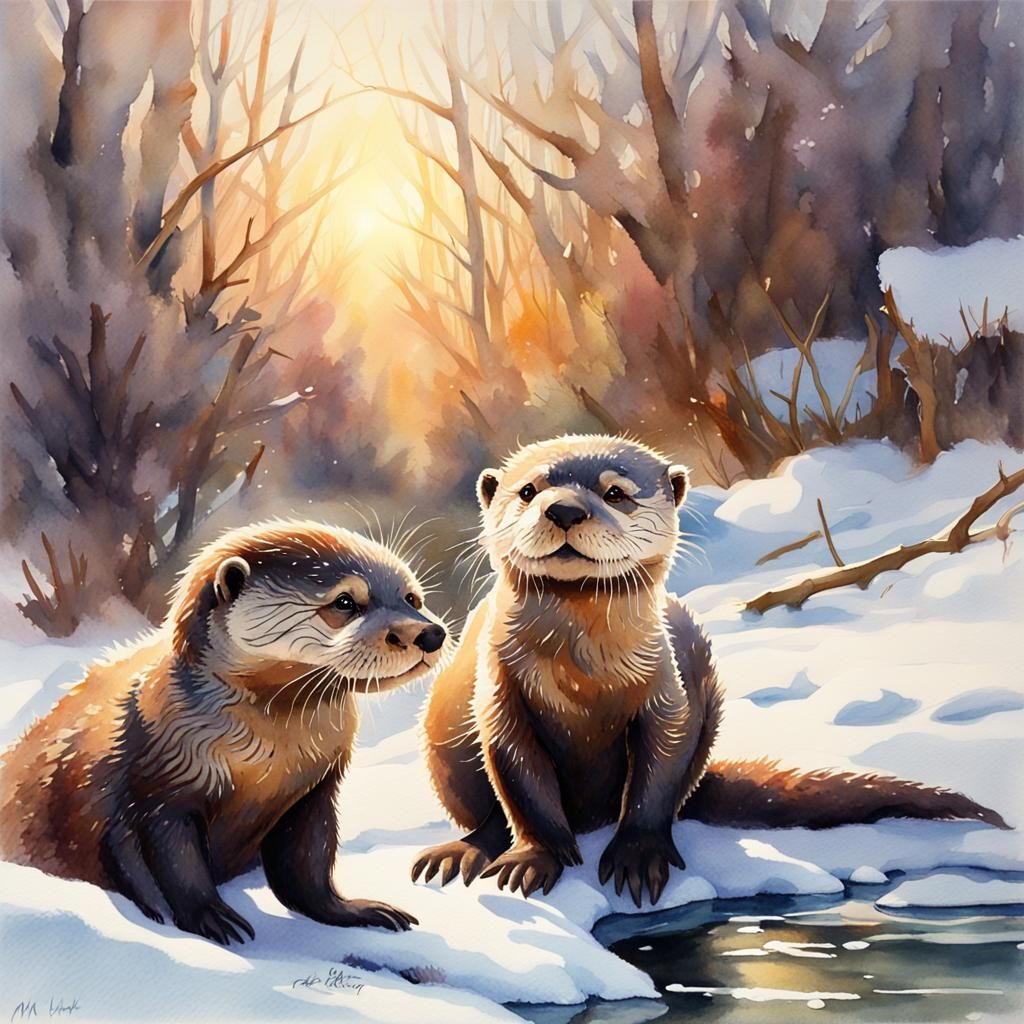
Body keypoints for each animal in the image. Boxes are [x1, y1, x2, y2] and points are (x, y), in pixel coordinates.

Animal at [0, 520, 448, 943]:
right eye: (345, 601)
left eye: (411, 598)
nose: (429, 633)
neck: (267, 758)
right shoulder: (158, 790)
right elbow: (174, 863)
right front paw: (209, 917)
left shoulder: (314, 791)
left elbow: (309, 868)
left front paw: (360, 910)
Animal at [413, 435, 1007, 906]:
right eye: (528, 491)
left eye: (614, 493)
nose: (563, 510)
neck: (582, 672)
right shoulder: (500, 695)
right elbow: (521, 780)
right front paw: (533, 860)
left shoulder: (668, 691)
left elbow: (657, 772)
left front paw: (637, 856)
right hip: (446, 742)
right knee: (486, 812)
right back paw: (461, 852)